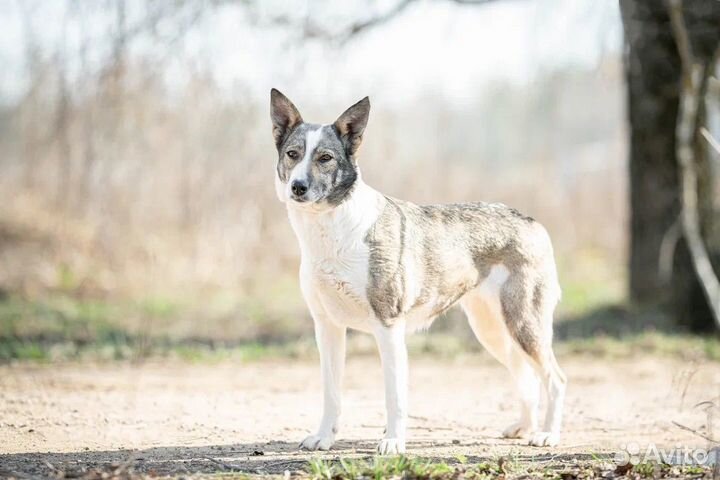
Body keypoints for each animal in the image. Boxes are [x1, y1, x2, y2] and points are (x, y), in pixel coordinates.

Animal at [270, 89, 568, 454]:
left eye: (325, 158)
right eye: (293, 154)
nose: (298, 187)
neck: (332, 229)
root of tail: (532, 222)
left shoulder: (388, 328)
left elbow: (394, 397)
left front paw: (394, 442)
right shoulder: (327, 328)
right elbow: (332, 393)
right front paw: (324, 437)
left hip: (524, 325)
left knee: (554, 378)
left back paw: (548, 434)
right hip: (494, 331)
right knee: (526, 376)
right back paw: (524, 427)